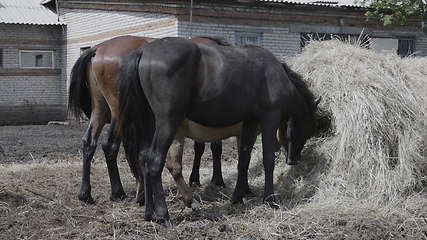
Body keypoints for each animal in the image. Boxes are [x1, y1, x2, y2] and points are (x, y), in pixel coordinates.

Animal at [68, 34, 239, 205]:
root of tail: (98, 49)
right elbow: (213, 147)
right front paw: (216, 179)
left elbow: (201, 147)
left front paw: (196, 179)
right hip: (119, 112)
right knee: (110, 146)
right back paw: (118, 191)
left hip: (101, 110)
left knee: (89, 143)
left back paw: (86, 194)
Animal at [118, 37, 320, 223]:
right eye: (309, 128)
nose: (294, 160)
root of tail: (144, 51)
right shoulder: (268, 119)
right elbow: (268, 159)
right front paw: (270, 199)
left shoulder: (250, 122)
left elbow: (243, 160)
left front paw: (238, 197)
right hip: (168, 123)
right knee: (154, 161)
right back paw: (164, 214)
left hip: (149, 123)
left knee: (144, 158)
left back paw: (149, 212)